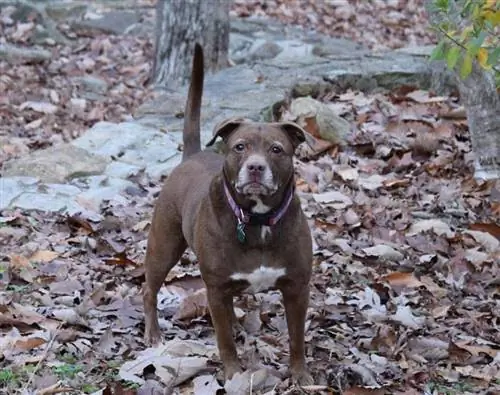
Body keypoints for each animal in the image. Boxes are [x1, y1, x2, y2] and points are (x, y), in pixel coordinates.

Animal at [143, 44, 310, 386]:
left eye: (276, 149)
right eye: (239, 147)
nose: (256, 167)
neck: (258, 220)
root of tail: (191, 156)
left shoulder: (297, 287)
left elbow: (297, 338)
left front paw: (300, 374)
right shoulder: (216, 289)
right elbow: (224, 342)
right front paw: (233, 373)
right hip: (164, 246)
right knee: (149, 289)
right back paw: (153, 333)